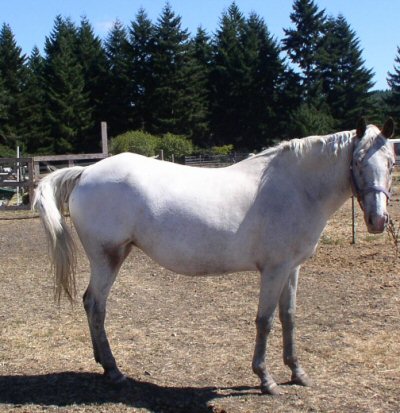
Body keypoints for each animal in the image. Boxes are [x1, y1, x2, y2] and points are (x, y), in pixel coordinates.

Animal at [33, 118, 395, 395]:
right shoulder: (274, 271)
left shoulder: (292, 269)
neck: (295, 188)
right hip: (107, 258)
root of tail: (86, 172)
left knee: (92, 304)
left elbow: (289, 317)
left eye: (391, 164)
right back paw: (113, 369)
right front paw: (265, 379)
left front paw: (297, 373)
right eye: (357, 162)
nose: (378, 221)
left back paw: (104, 364)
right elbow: (264, 321)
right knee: (96, 304)